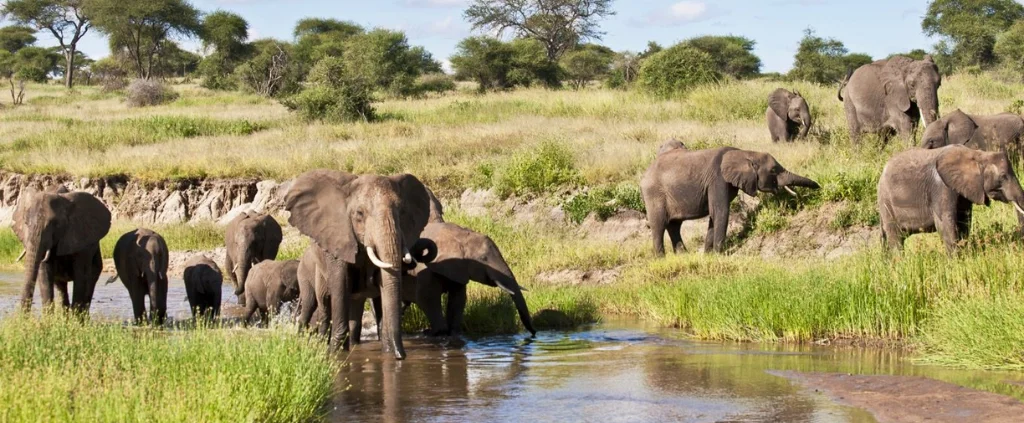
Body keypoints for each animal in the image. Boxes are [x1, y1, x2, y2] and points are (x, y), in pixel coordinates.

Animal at [12, 185, 110, 313]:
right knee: (60, 285)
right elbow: (44, 272)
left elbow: (81, 274)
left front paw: (76, 317)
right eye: (26, 223)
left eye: (55, 224)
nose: (23, 317)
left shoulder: (81, 236)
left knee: (90, 280)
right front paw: (48, 318)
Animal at [284, 170, 436, 358]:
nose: (401, 356)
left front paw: (387, 353)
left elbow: (384, 284)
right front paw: (336, 353)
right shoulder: (338, 239)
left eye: (402, 212)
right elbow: (341, 284)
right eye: (359, 214)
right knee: (321, 304)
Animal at [638, 146, 823, 255]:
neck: (744, 153)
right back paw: (661, 259)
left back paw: (684, 256)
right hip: (654, 194)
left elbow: (714, 216)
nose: (819, 187)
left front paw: (708, 255)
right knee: (659, 225)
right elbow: (720, 212)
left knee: (674, 225)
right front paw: (720, 254)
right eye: (773, 170)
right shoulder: (717, 180)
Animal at [876, 144, 1024, 250]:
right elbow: (945, 222)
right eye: (1003, 176)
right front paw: (955, 261)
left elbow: (964, 220)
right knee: (895, 238)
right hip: (886, 202)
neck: (977, 154)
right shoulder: (941, 186)